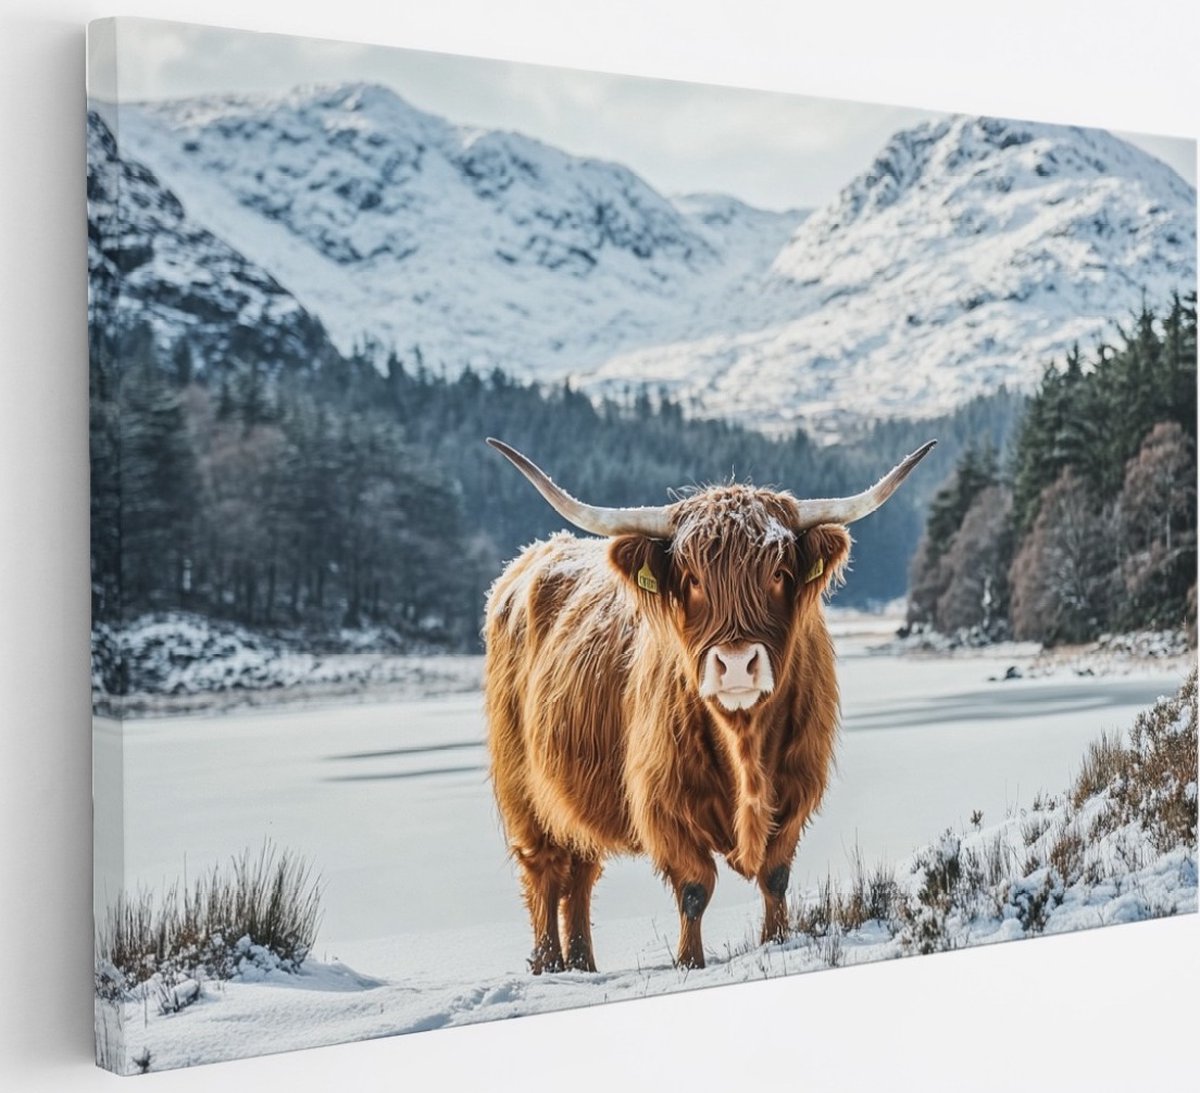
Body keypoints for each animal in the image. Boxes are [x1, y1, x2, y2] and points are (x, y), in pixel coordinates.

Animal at [483, 437, 935, 972]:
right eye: (694, 579)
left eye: (778, 573)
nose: (737, 665)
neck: (744, 744)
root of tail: (534, 555)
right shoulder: (664, 800)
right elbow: (695, 888)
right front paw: (689, 963)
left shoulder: (797, 786)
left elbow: (774, 877)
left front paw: (776, 942)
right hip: (523, 794)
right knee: (545, 872)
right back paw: (551, 965)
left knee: (580, 873)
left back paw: (581, 965)